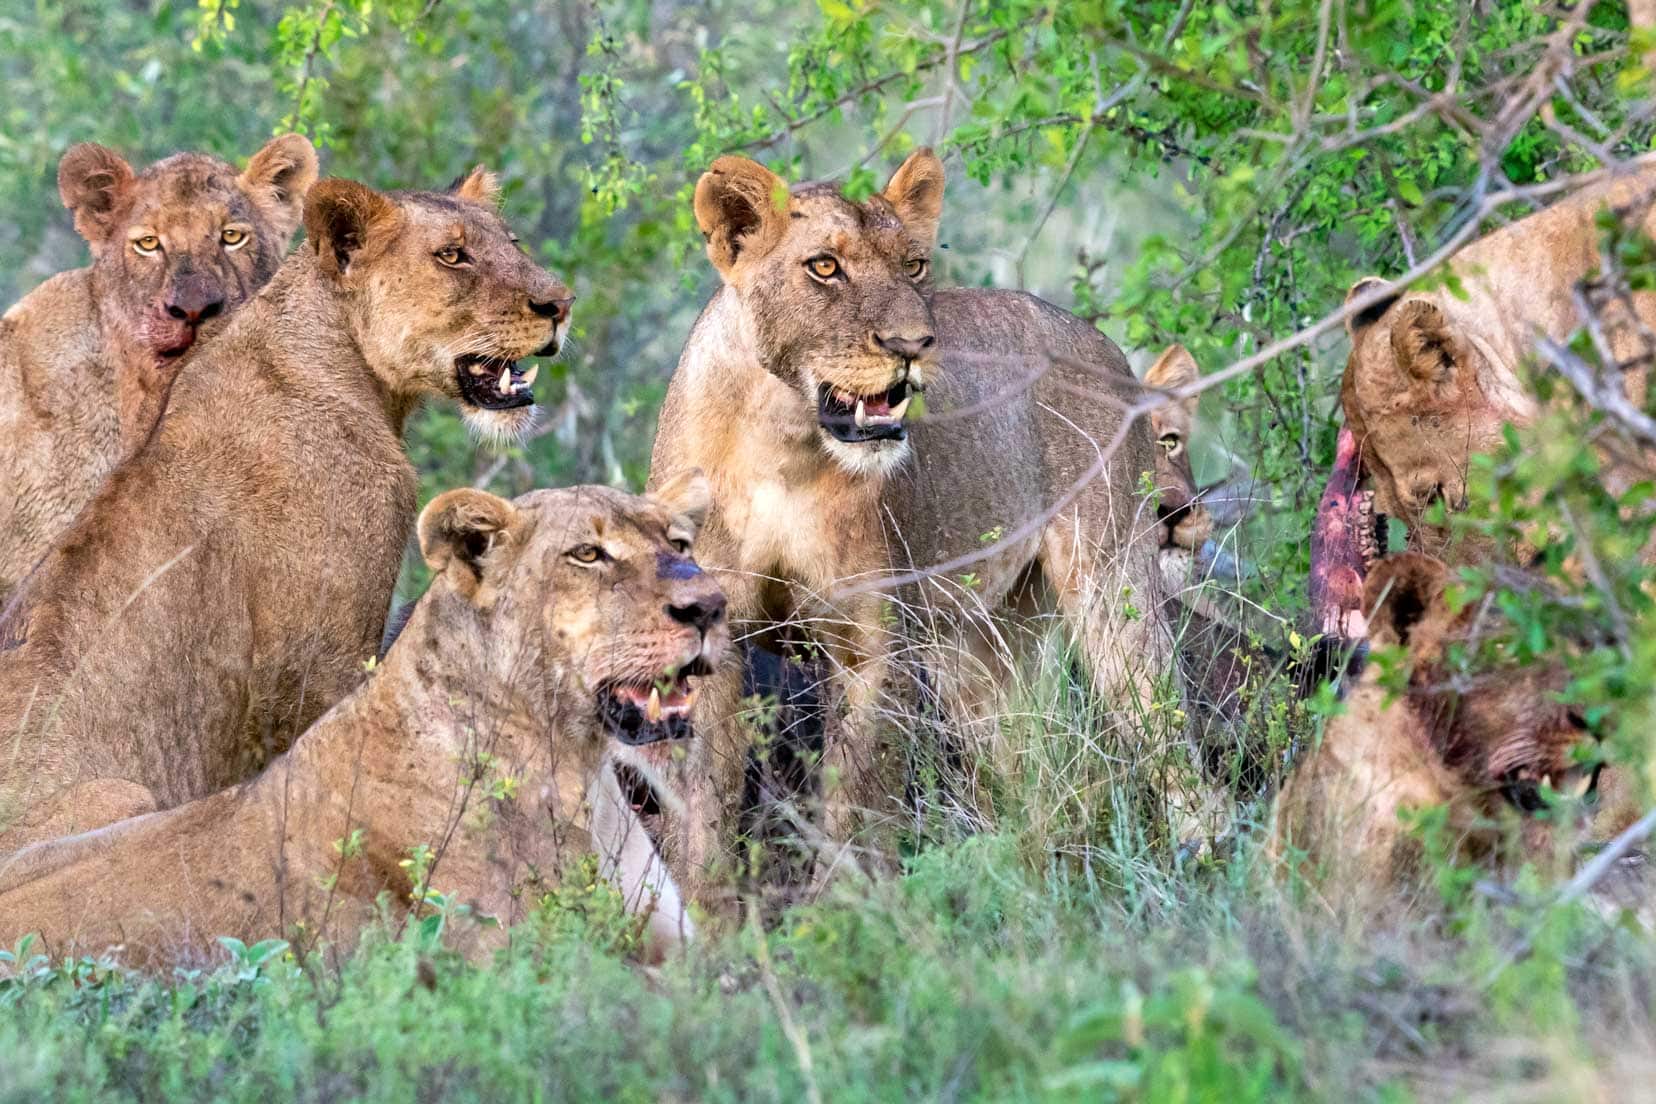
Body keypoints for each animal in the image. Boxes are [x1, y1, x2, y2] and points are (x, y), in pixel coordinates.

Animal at [645, 148, 1179, 887]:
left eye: (915, 265)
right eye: (824, 267)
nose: (914, 344)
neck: (782, 445)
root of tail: (1102, 344)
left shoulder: (871, 643)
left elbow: (858, 803)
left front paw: (852, 906)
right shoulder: (708, 645)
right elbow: (702, 816)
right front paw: (701, 912)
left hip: (1111, 581)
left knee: (1172, 743)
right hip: (983, 646)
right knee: (1031, 775)